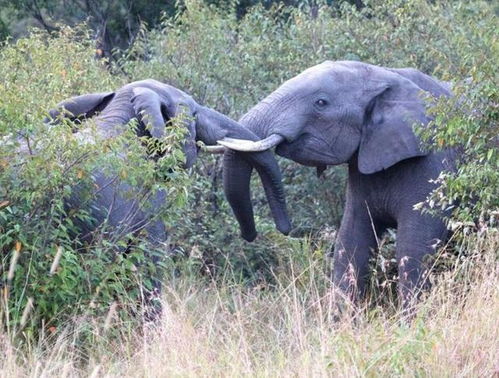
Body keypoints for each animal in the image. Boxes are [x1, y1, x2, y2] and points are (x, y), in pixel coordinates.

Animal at [220, 61, 458, 310]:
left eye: (321, 103)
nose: (250, 235)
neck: (387, 75)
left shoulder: (434, 165)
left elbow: (415, 248)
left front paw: (414, 317)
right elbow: (351, 242)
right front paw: (340, 318)